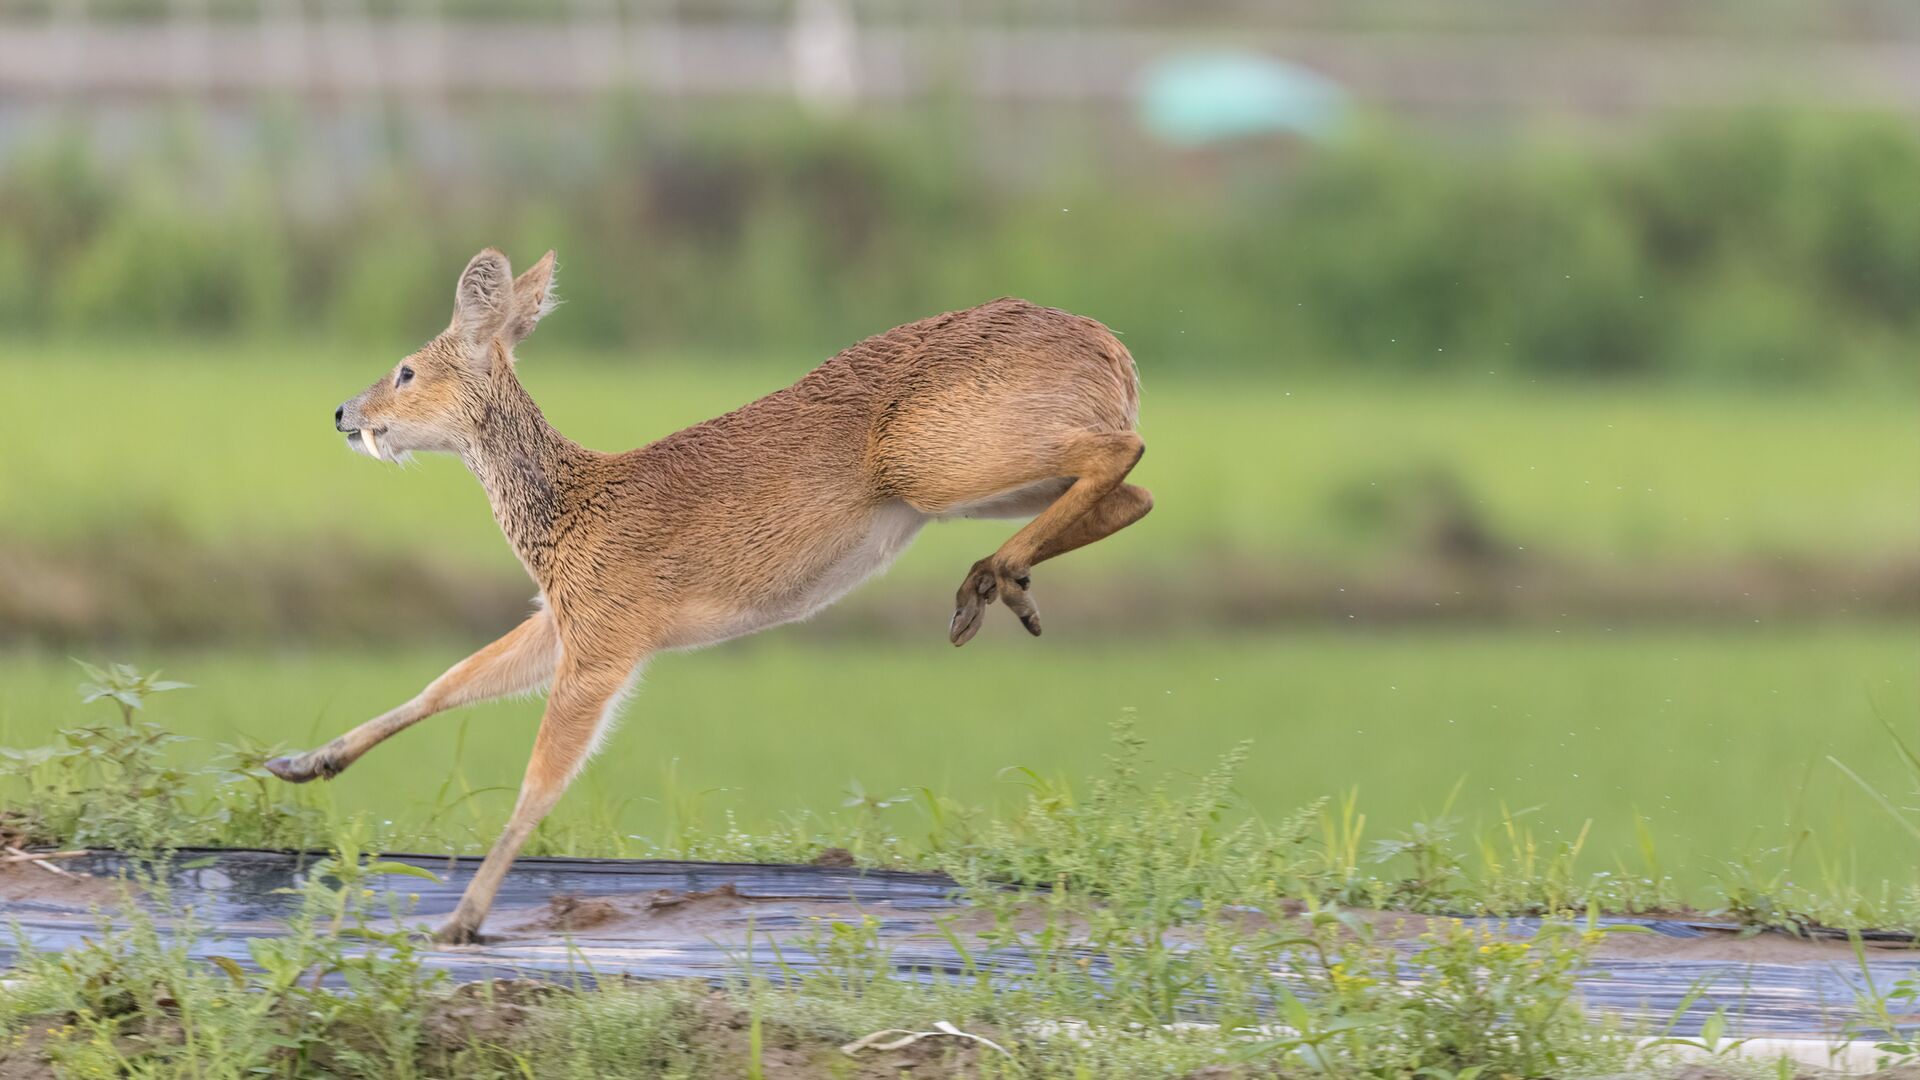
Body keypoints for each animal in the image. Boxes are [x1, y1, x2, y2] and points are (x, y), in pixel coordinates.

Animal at [263, 247, 1144, 937]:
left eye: (407, 369)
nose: (344, 411)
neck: (569, 509)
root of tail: (1111, 348)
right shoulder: (565, 621)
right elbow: (444, 683)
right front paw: (302, 762)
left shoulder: (605, 641)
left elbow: (539, 779)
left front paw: (460, 920)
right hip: (956, 483)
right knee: (1131, 493)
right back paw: (1001, 584)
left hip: (932, 462)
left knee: (1124, 453)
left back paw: (989, 583)